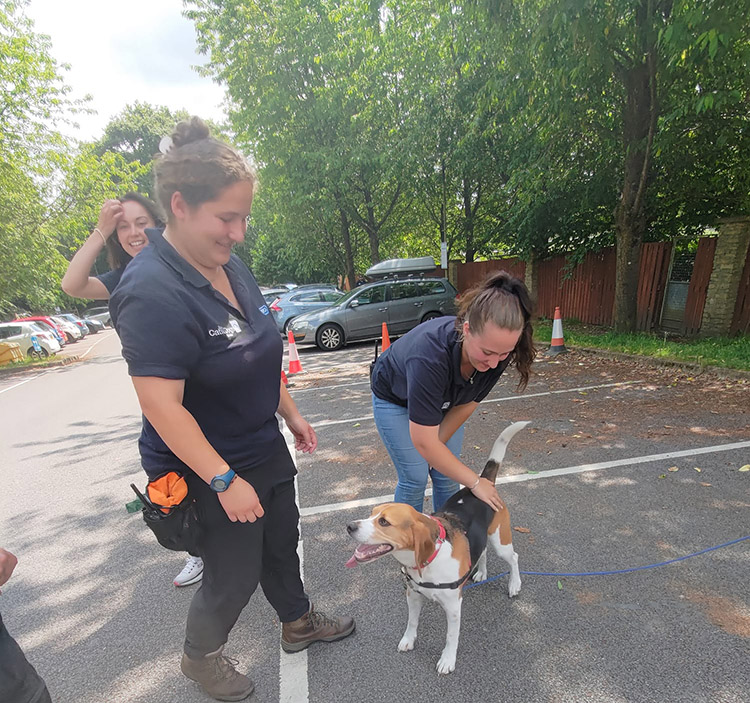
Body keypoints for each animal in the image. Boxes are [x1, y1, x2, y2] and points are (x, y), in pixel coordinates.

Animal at [346, 420, 528, 672]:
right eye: (371, 513)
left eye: (384, 522)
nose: (349, 526)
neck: (429, 561)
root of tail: (483, 483)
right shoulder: (413, 595)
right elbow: (412, 622)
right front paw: (408, 640)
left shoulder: (453, 607)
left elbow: (451, 637)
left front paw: (447, 660)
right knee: (481, 551)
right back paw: (481, 572)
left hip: (501, 539)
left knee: (514, 558)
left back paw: (514, 584)